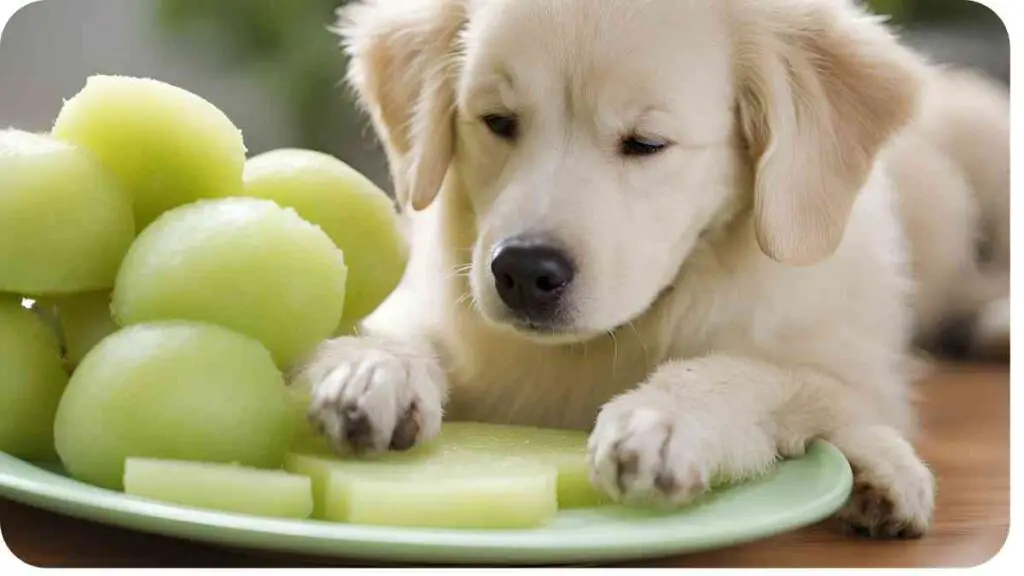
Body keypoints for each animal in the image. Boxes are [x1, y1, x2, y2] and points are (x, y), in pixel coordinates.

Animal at [294, 0, 1007, 537]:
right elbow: (402, 332)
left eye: (645, 144)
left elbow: (759, 372)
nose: (522, 272)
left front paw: (665, 420)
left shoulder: (857, 368)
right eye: (497, 122)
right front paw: (375, 371)